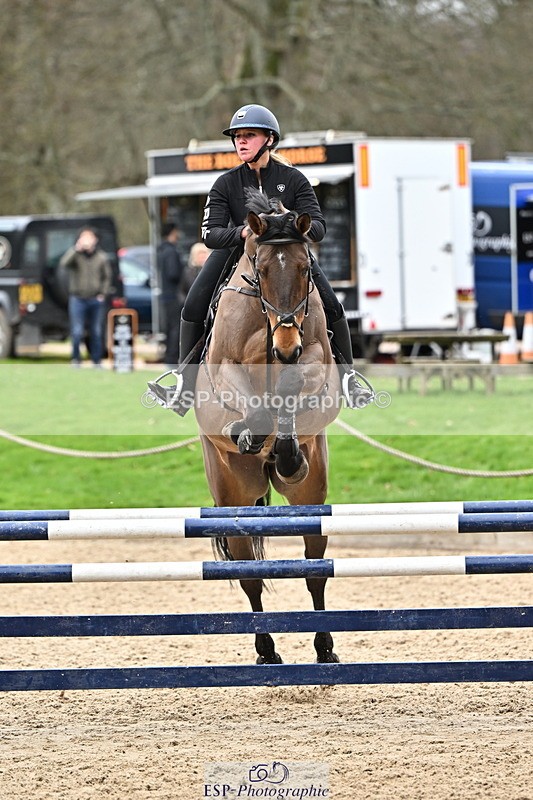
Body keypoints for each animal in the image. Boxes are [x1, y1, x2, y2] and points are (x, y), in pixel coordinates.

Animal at [194, 188, 343, 665]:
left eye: (304, 268)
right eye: (258, 271)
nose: (285, 345)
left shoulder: (313, 356)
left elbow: (292, 387)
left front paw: (287, 452)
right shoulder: (224, 367)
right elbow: (252, 404)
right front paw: (250, 433)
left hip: (312, 498)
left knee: (316, 572)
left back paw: (324, 645)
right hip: (233, 497)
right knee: (251, 577)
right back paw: (265, 649)